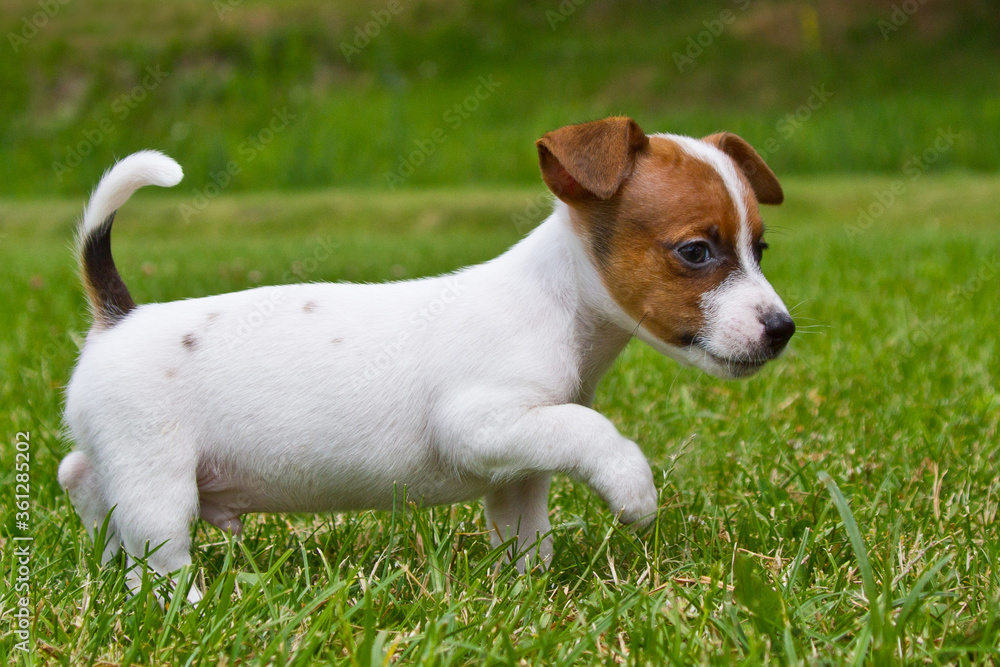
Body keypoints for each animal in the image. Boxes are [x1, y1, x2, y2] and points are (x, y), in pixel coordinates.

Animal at [60, 117, 796, 604]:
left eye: (761, 248)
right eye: (697, 252)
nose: (783, 329)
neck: (556, 304)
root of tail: (118, 317)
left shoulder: (520, 464)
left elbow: (525, 529)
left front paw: (527, 591)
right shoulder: (480, 423)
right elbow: (595, 432)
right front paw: (633, 488)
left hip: (123, 460)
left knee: (82, 477)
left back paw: (101, 555)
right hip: (158, 478)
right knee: (157, 551)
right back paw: (184, 604)